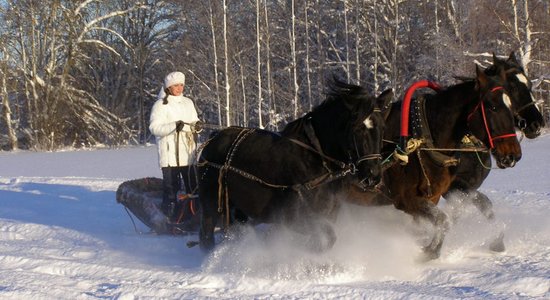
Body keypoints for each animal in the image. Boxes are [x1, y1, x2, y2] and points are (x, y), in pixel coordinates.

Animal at [196, 81, 394, 252]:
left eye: (383, 128)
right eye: (357, 128)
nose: (372, 176)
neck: (316, 159)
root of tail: (212, 140)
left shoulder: (327, 215)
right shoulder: (295, 219)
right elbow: (327, 239)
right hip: (211, 204)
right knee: (206, 235)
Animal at [442, 52, 544, 252]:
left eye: (529, 83)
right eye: (512, 87)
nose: (537, 124)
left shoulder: (468, 187)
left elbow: (482, 206)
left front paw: (497, 241)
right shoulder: (455, 187)